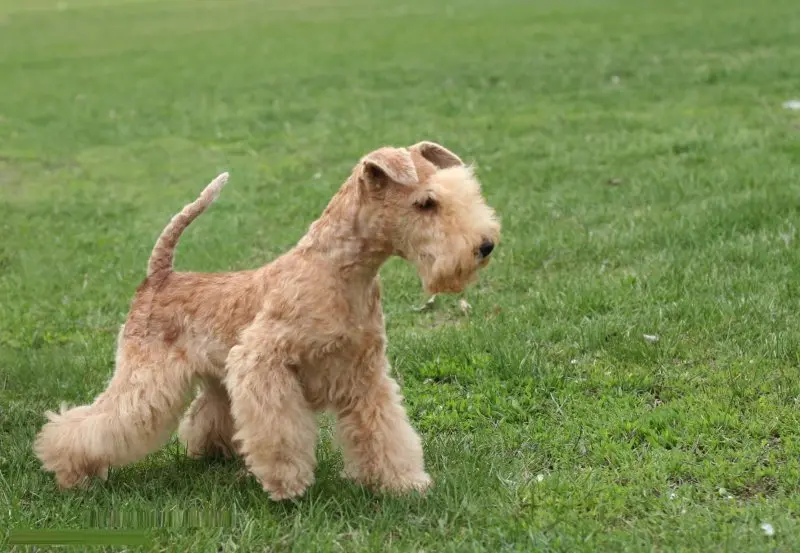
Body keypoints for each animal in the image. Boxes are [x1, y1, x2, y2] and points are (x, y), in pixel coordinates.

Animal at [37, 140, 504, 498]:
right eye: (426, 202)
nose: (485, 246)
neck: (339, 272)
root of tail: (159, 276)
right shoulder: (263, 361)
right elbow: (281, 431)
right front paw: (287, 483)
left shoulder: (365, 374)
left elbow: (384, 431)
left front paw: (402, 482)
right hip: (146, 376)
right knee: (92, 422)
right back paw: (70, 469)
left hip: (215, 378)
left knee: (205, 415)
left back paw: (214, 452)